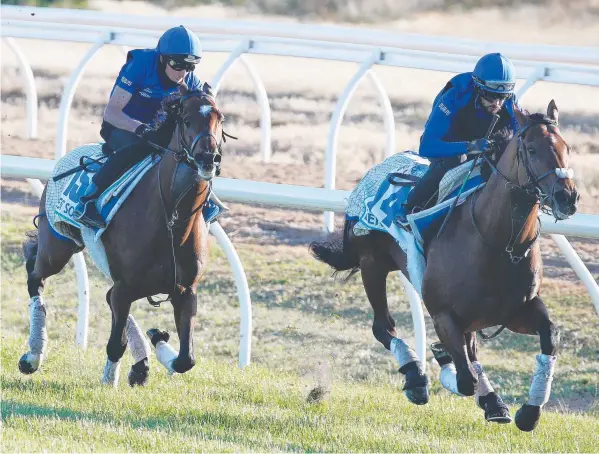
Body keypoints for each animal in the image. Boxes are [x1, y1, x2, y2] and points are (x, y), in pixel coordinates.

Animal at [19, 84, 227, 386]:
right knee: (35, 277)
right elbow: (115, 344)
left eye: (220, 118)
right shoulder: (126, 286)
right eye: (187, 120)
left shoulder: (185, 290)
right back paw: (33, 355)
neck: (172, 219)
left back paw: (141, 363)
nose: (209, 158)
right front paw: (109, 380)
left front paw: (157, 341)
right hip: (56, 247)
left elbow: (186, 360)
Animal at [314, 101, 580, 430]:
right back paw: (416, 377)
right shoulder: (444, 315)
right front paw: (440, 365)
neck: (496, 242)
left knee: (469, 350)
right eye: (531, 149)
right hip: (372, 264)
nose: (567, 196)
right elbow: (464, 380)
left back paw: (490, 401)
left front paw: (529, 412)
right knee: (382, 327)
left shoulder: (517, 310)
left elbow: (550, 336)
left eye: (567, 147)